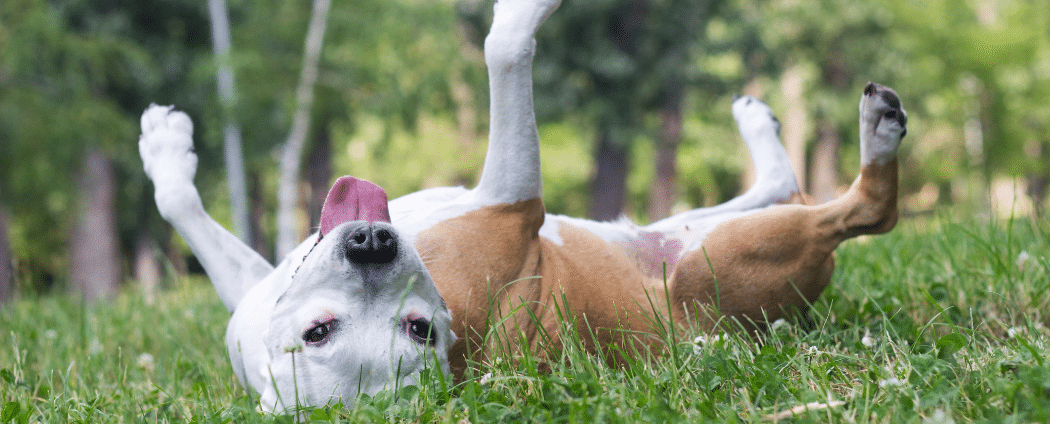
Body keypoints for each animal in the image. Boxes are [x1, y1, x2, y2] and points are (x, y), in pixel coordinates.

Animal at [139, 0, 902, 411]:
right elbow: (506, 45)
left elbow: (183, 210)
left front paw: (165, 151)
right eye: (321, 332)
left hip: (683, 226)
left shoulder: (252, 291)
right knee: (864, 212)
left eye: (418, 329)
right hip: (729, 254)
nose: (371, 244)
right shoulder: (513, 202)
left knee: (777, 185)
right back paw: (877, 132)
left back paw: (761, 122)